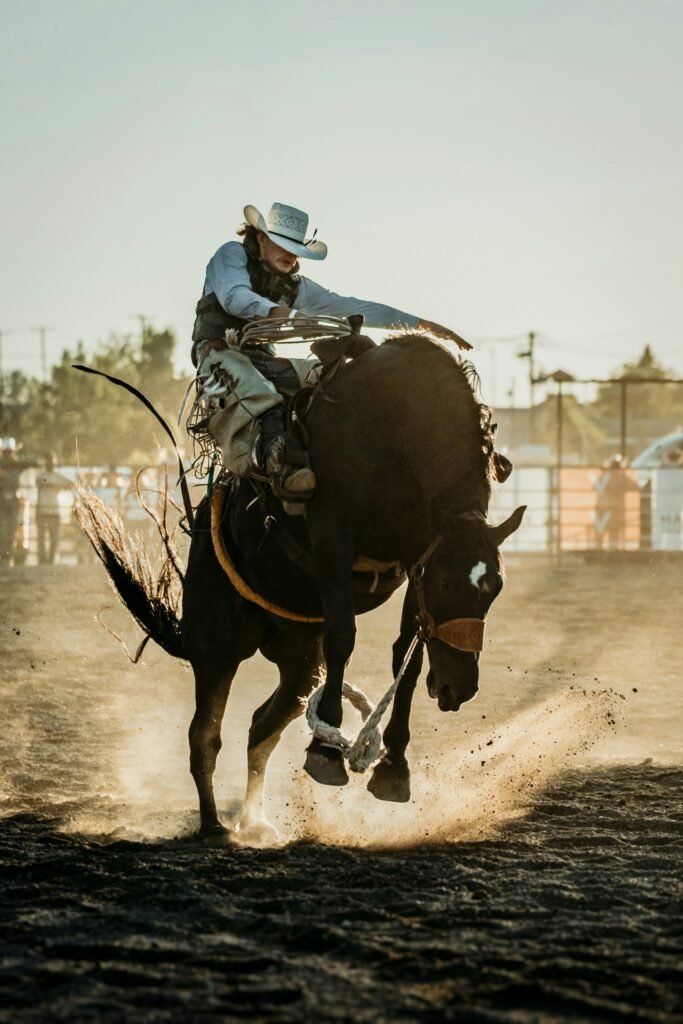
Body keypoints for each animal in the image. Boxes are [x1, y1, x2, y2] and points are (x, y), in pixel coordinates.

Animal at [77, 332, 524, 844]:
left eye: (495, 588)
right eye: (448, 582)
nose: (458, 687)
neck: (396, 430)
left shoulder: (417, 558)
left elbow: (406, 656)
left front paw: (393, 766)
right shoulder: (333, 541)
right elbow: (344, 637)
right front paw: (326, 755)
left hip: (298, 663)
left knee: (261, 729)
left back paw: (253, 822)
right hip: (217, 647)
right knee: (204, 736)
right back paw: (213, 825)